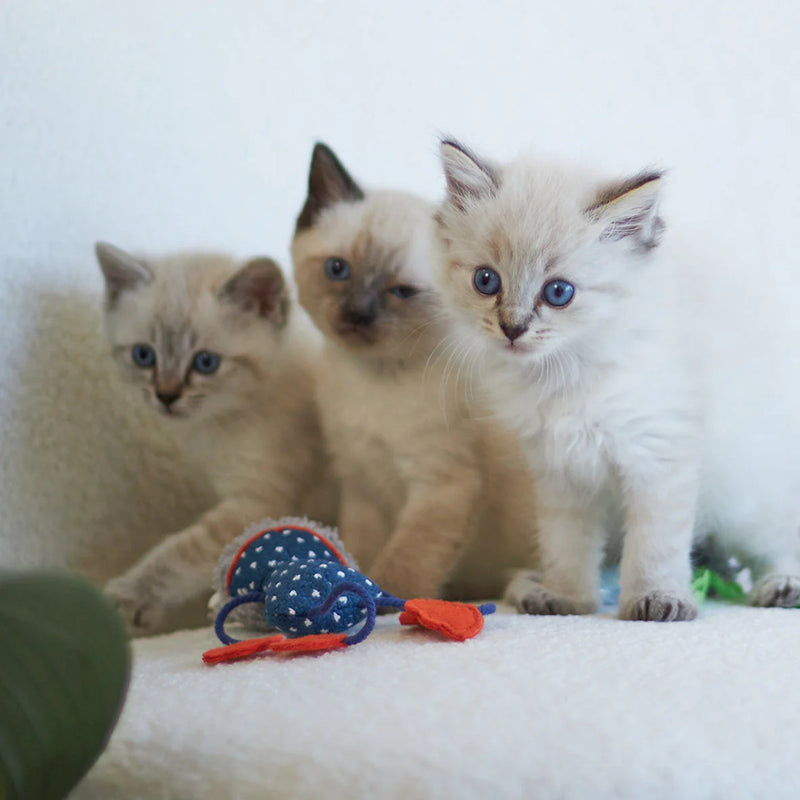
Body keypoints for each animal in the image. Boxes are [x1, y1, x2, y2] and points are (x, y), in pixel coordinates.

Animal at [96, 247, 334, 636]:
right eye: (144, 356)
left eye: (206, 362)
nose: (166, 396)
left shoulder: (257, 499)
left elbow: (176, 553)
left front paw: (128, 598)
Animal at [290, 144, 536, 600]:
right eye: (338, 270)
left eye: (401, 291)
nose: (357, 314)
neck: (372, 379)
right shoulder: (362, 487)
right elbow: (361, 553)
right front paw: (354, 586)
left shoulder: (440, 487)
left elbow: (402, 566)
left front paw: (383, 604)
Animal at [434, 141, 800, 620]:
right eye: (485, 280)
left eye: (558, 293)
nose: (512, 328)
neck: (566, 372)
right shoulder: (562, 472)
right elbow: (565, 546)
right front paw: (568, 599)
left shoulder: (658, 458)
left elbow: (654, 546)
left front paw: (657, 599)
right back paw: (530, 586)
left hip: (748, 498)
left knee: (779, 542)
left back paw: (781, 586)